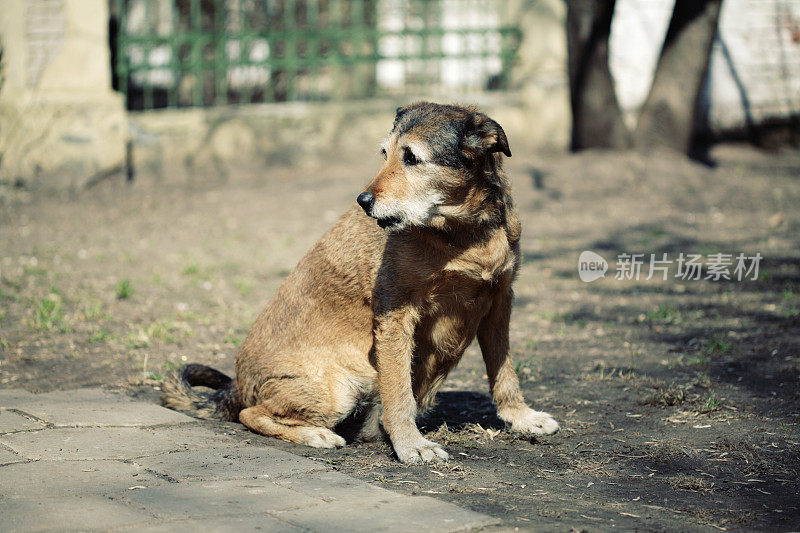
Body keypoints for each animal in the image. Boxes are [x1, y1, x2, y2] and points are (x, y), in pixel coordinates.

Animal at [164, 103, 556, 462]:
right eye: (385, 154)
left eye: (412, 158)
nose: (363, 201)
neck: (463, 234)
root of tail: (237, 384)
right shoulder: (397, 316)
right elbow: (399, 394)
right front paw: (410, 445)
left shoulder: (498, 301)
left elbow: (504, 372)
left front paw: (521, 418)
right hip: (338, 390)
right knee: (251, 413)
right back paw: (316, 435)